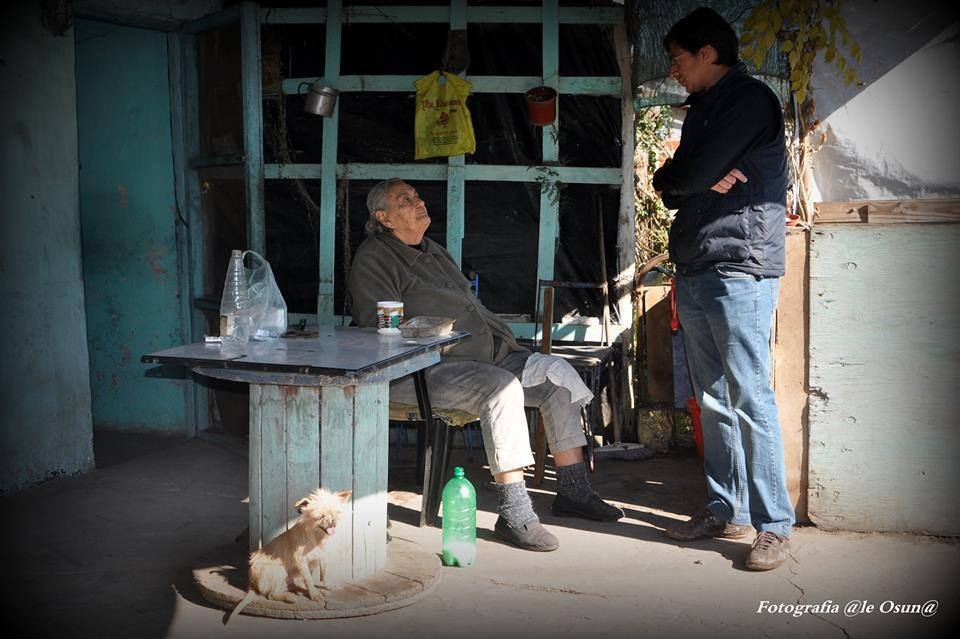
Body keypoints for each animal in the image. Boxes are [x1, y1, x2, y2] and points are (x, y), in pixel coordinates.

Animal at [227, 488, 354, 624]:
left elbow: (324, 574)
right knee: (271, 595)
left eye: (336, 512)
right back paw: (290, 598)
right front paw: (314, 594)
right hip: (279, 569)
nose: (332, 521)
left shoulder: (322, 558)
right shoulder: (301, 561)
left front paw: (329, 586)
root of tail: (252, 585)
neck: (316, 537)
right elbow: (309, 579)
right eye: (321, 516)